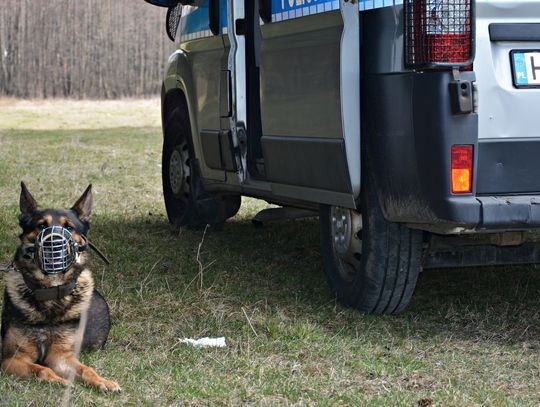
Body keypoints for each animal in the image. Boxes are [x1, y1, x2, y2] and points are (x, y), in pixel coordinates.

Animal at [1, 184, 121, 392]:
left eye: (69, 227)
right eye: (41, 225)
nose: (53, 242)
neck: (50, 291)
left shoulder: (61, 356)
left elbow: (86, 369)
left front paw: (102, 381)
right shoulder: (12, 359)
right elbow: (41, 369)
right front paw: (57, 380)